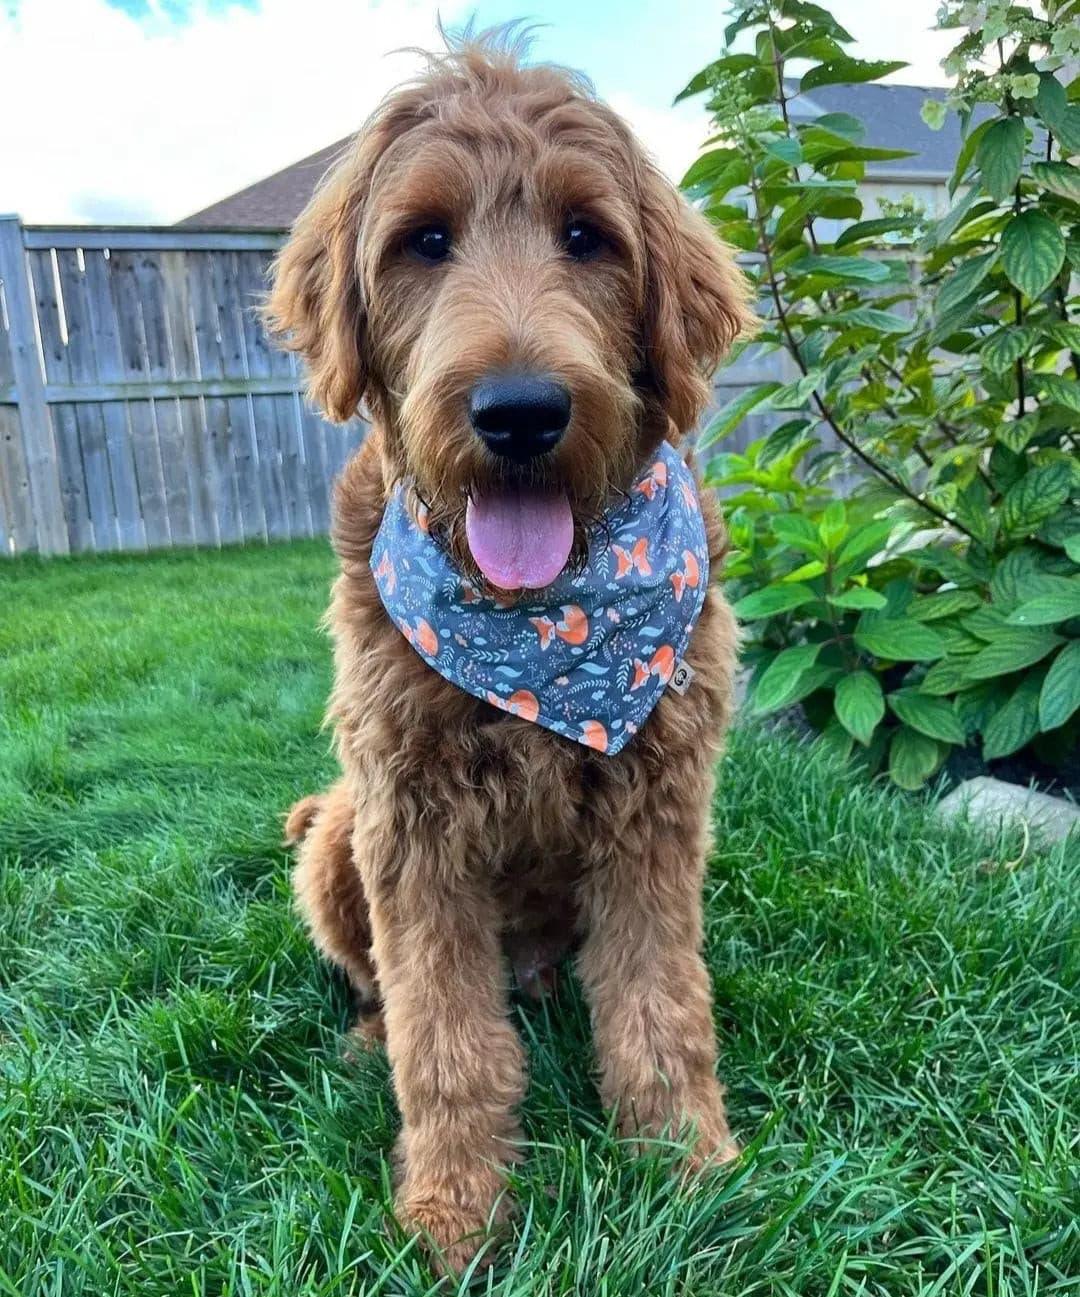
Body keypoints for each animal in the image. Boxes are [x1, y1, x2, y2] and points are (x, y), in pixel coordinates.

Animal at [263, 32, 751, 1276]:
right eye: (424, 241)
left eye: (588, 236)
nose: (521, 411)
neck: (543, 635)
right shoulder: (408, 823)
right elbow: (445, 1037)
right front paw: (455, 1212)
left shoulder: (657, 812)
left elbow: (662, 1008)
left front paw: (689, 1167)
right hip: (335, 833)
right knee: (393, 992)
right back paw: (365, 1036)